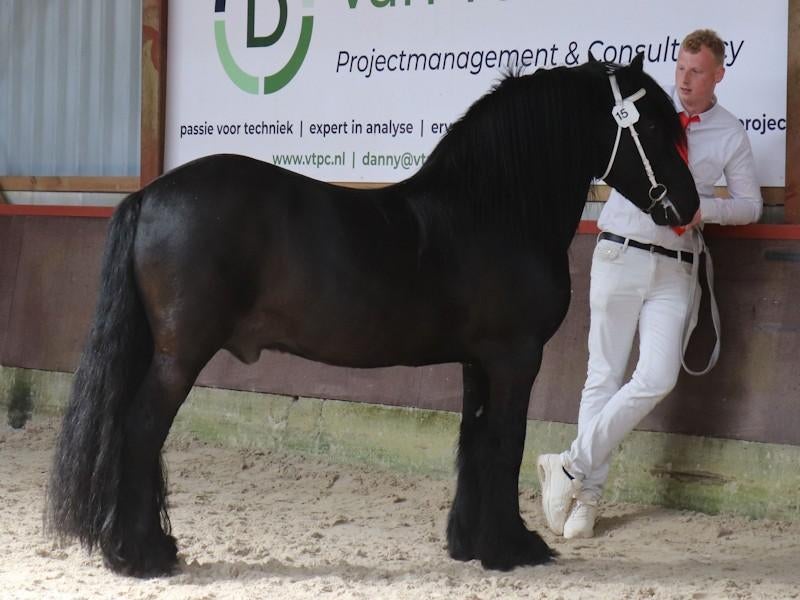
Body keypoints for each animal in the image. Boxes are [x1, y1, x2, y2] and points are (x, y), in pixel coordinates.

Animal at [46, 53, 698, 577]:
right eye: (654, 128)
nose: (689, 205)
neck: (493, 212)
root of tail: (148, 194)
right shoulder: (516, 358)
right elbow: (504, 444)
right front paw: (511, 548)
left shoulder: (477, 362)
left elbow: (473, 441)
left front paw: (469, 544)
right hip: (179, 355)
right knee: (139, 430)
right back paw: (142, 554)